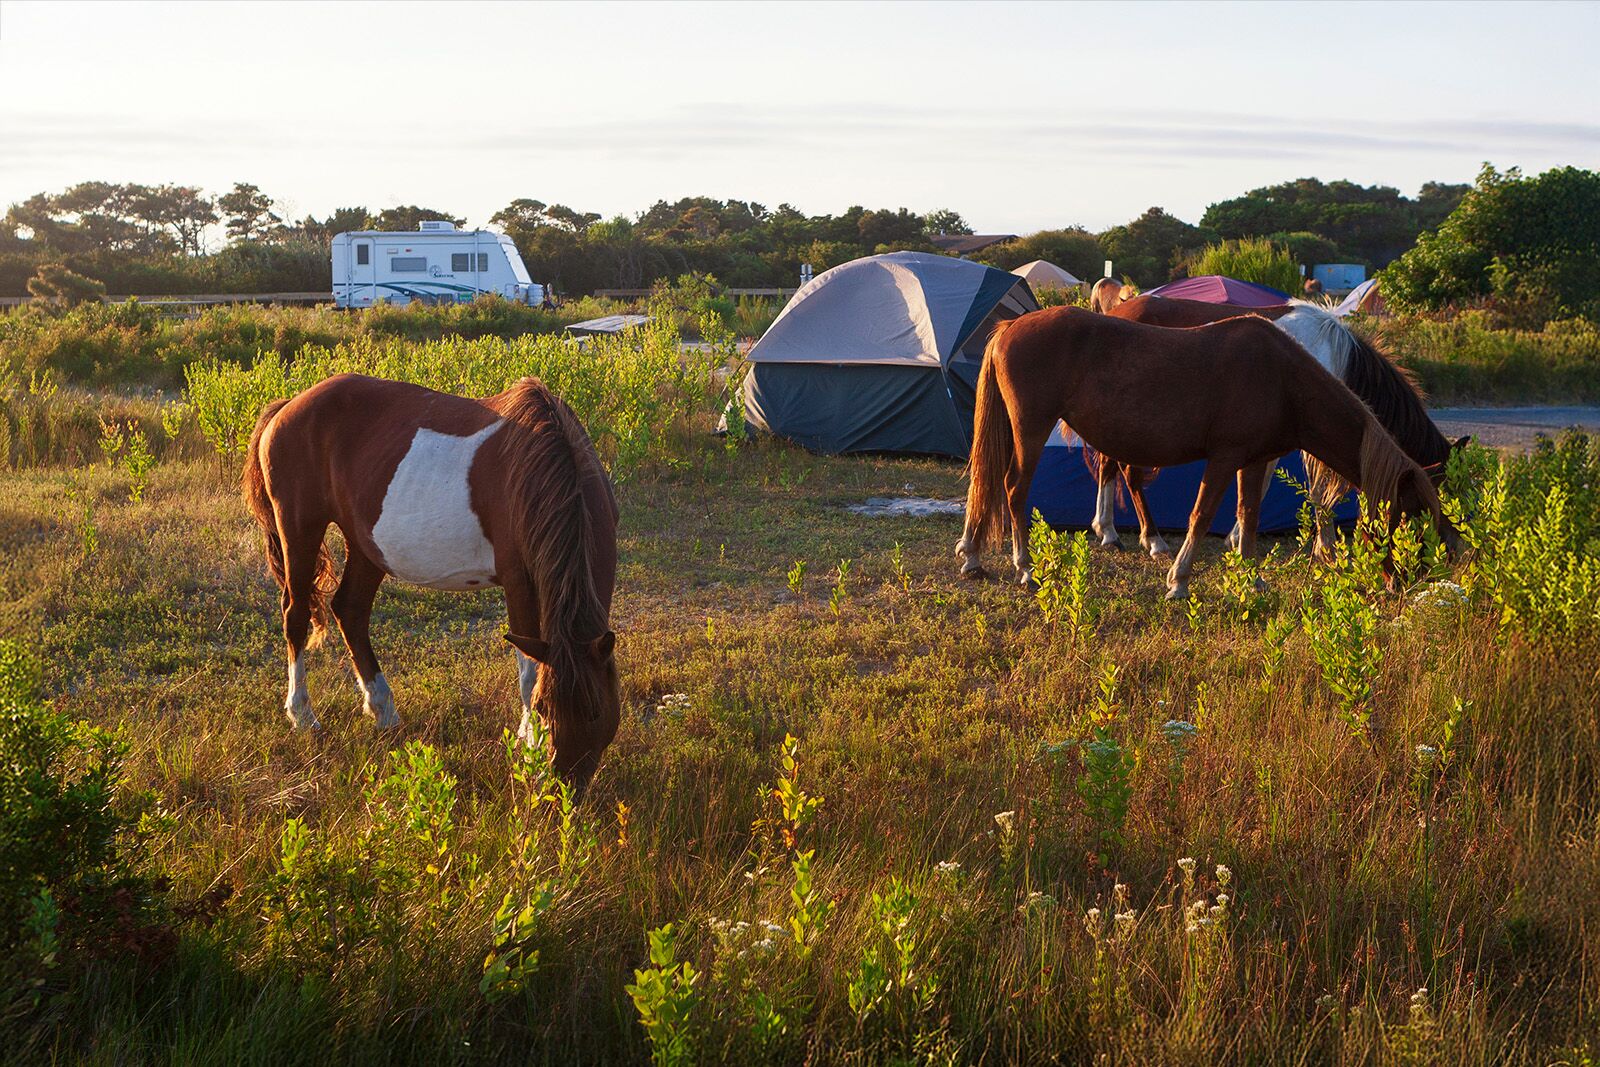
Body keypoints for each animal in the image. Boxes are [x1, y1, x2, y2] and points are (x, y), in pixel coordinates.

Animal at [241, 371, 617, 790]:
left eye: (597, 711)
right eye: (543, 707)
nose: (564, 786)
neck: (543, 464)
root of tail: (287, 407)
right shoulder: (519, 582)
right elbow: (529, 672)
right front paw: (527, 747)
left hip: (366, 544)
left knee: (350, 610)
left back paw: (383, 710)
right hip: (300, 528)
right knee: (296, 615)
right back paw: (303, 715)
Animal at [960, 307, 1452, 601]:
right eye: (1411, 516)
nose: (1407, 582)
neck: (1284, 378)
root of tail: (1009, 328)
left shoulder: (1253, 461)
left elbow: (1249, 515)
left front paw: (1252, 577)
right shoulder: (1224, 459)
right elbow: (1202, 514)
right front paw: (1179, 580)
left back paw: (974, 557)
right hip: (1030, 429)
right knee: (1014, 489)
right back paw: (1026, 568)